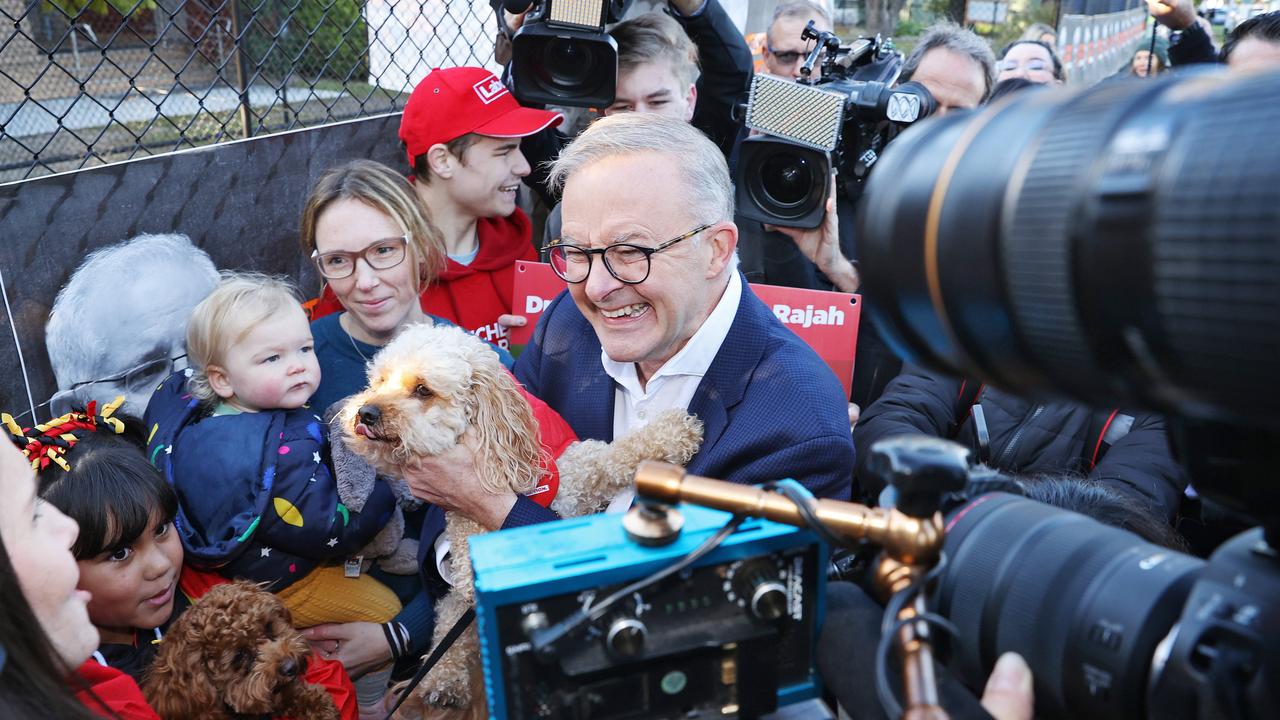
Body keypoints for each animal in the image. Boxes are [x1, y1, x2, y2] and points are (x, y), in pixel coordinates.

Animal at [337, 322, 701, 712]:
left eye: (423, 390)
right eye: (380, 380)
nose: (365, 413)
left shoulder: (578, 468)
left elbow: (618, 453)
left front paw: (677, 431)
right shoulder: (464, 531)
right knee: (449, 625)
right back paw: (442, 679)